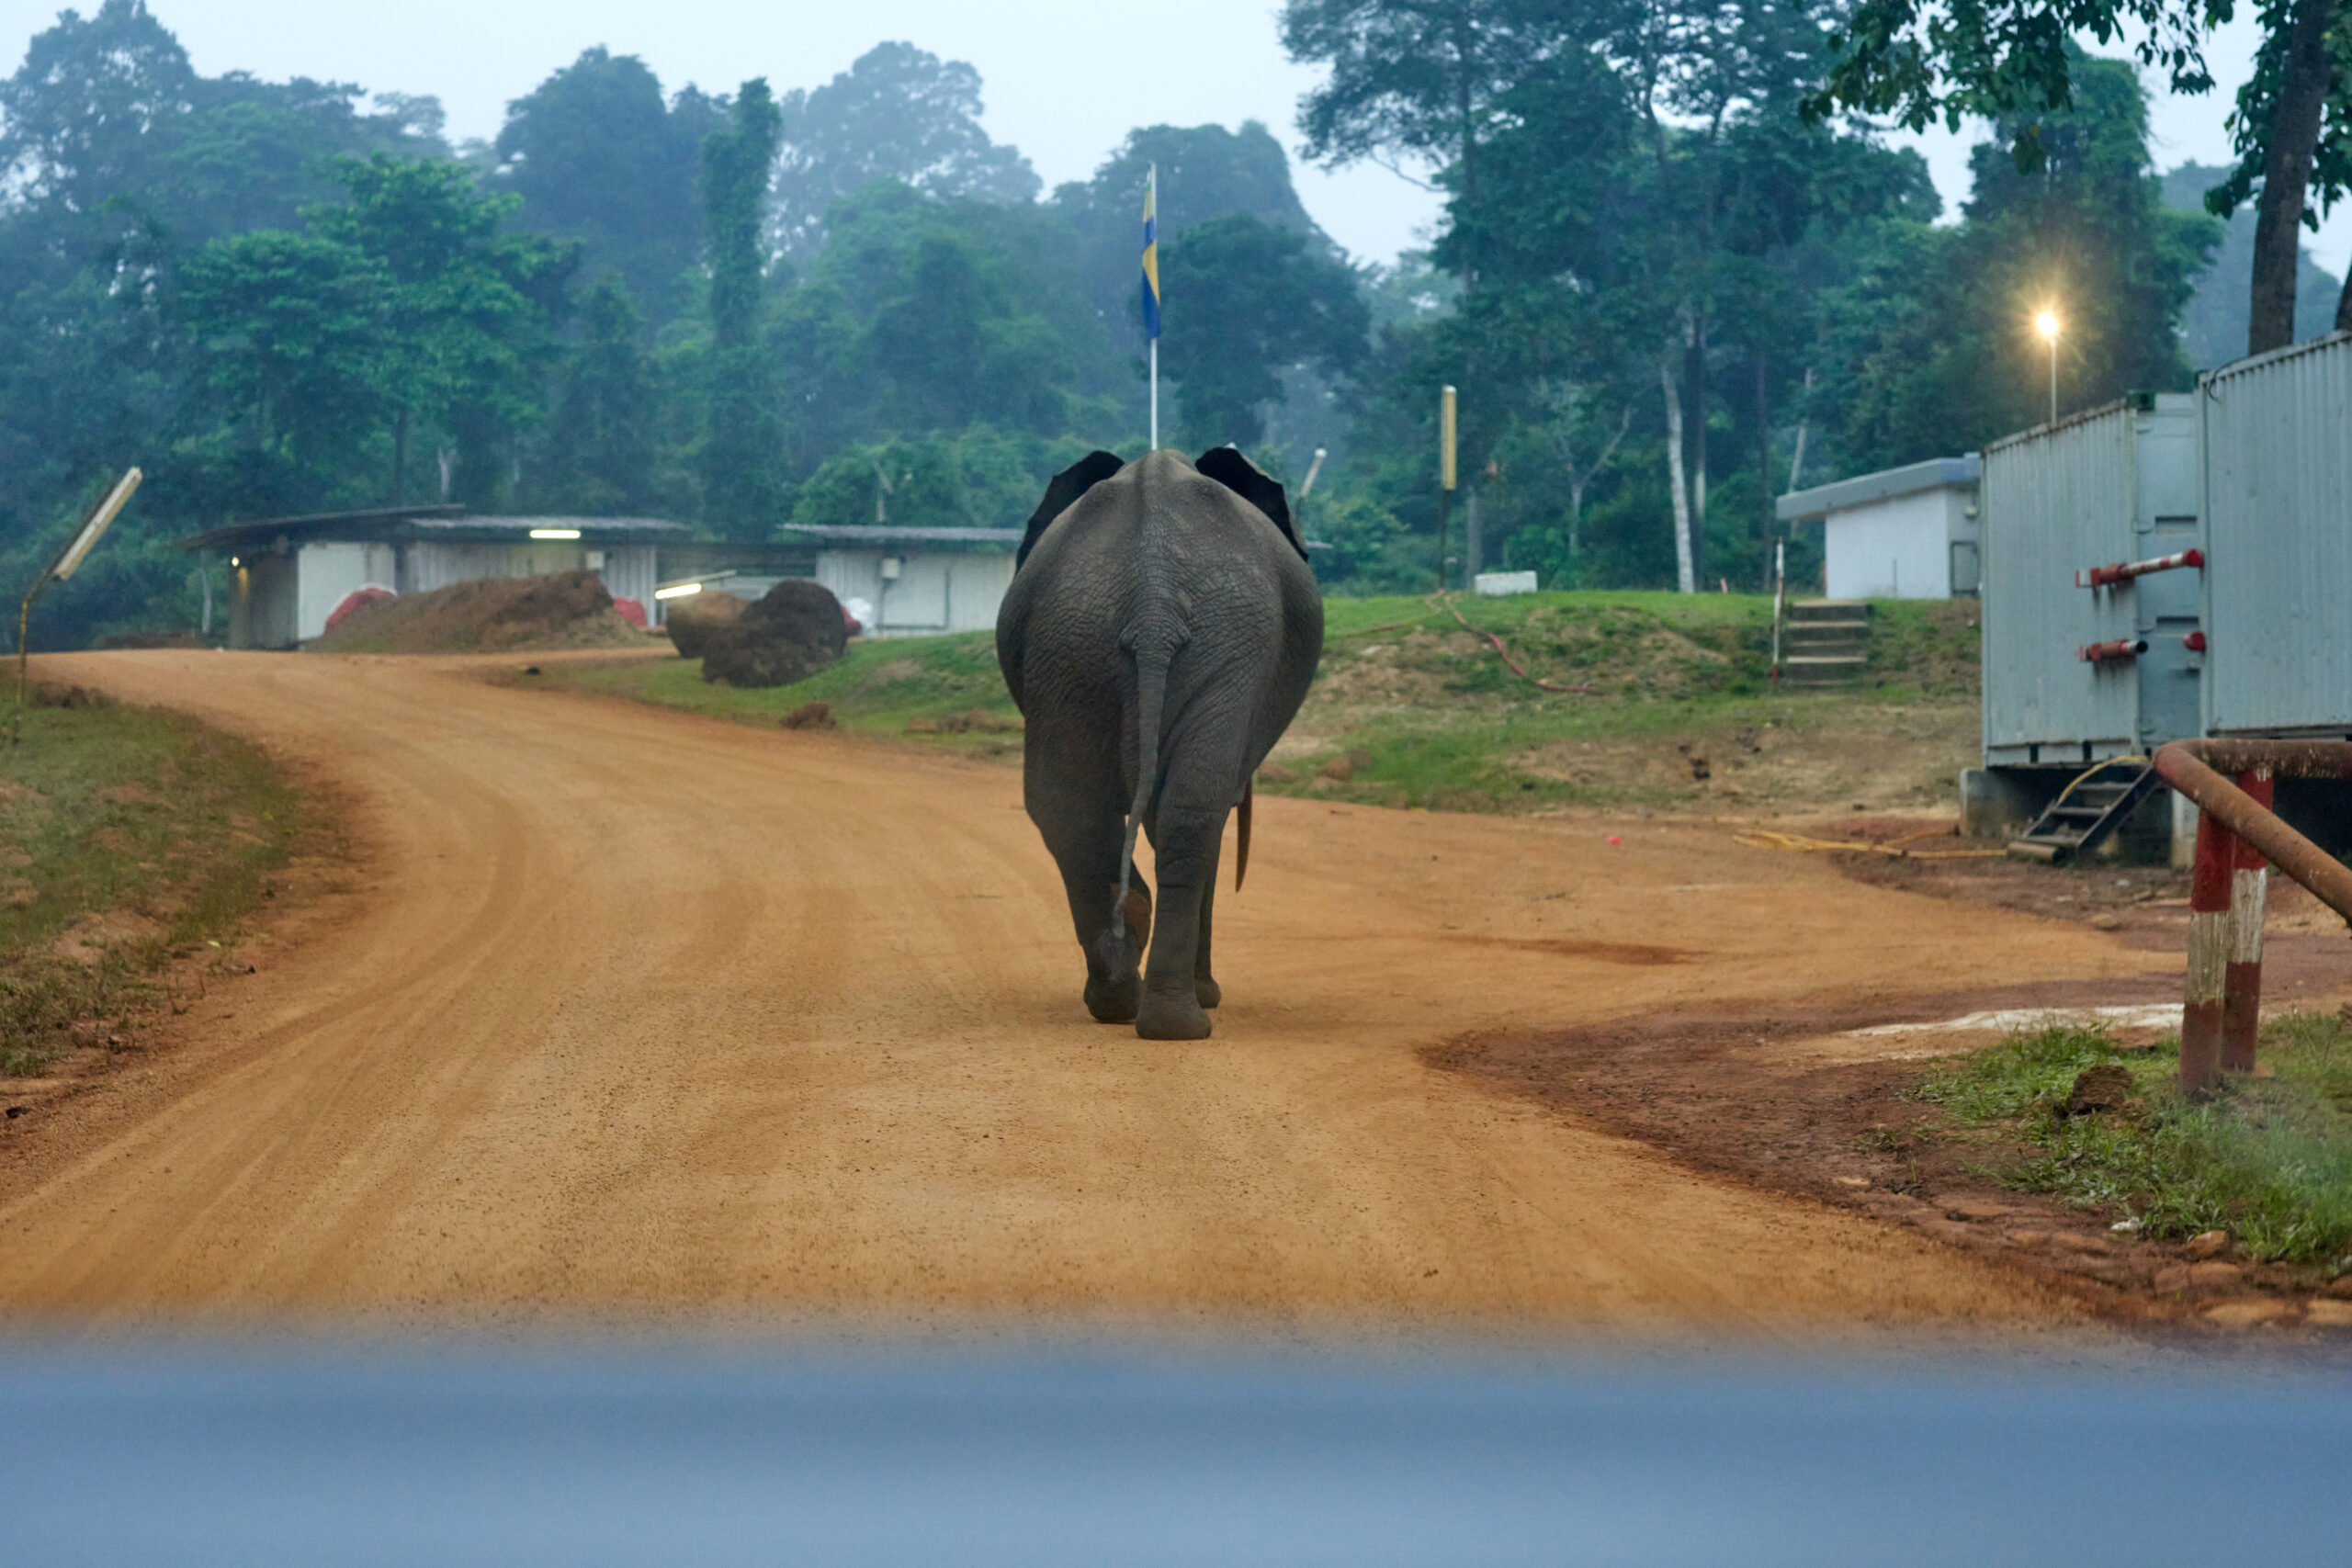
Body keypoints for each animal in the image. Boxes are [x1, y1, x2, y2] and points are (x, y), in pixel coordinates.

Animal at [996, 447, 1324, 1039]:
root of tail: (1155, 601)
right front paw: (1208, 994)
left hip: (1073, 644)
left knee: (1075, 811)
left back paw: (1127, 998)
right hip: (1211, 642)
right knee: (1191, 810)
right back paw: (1177, 1018)